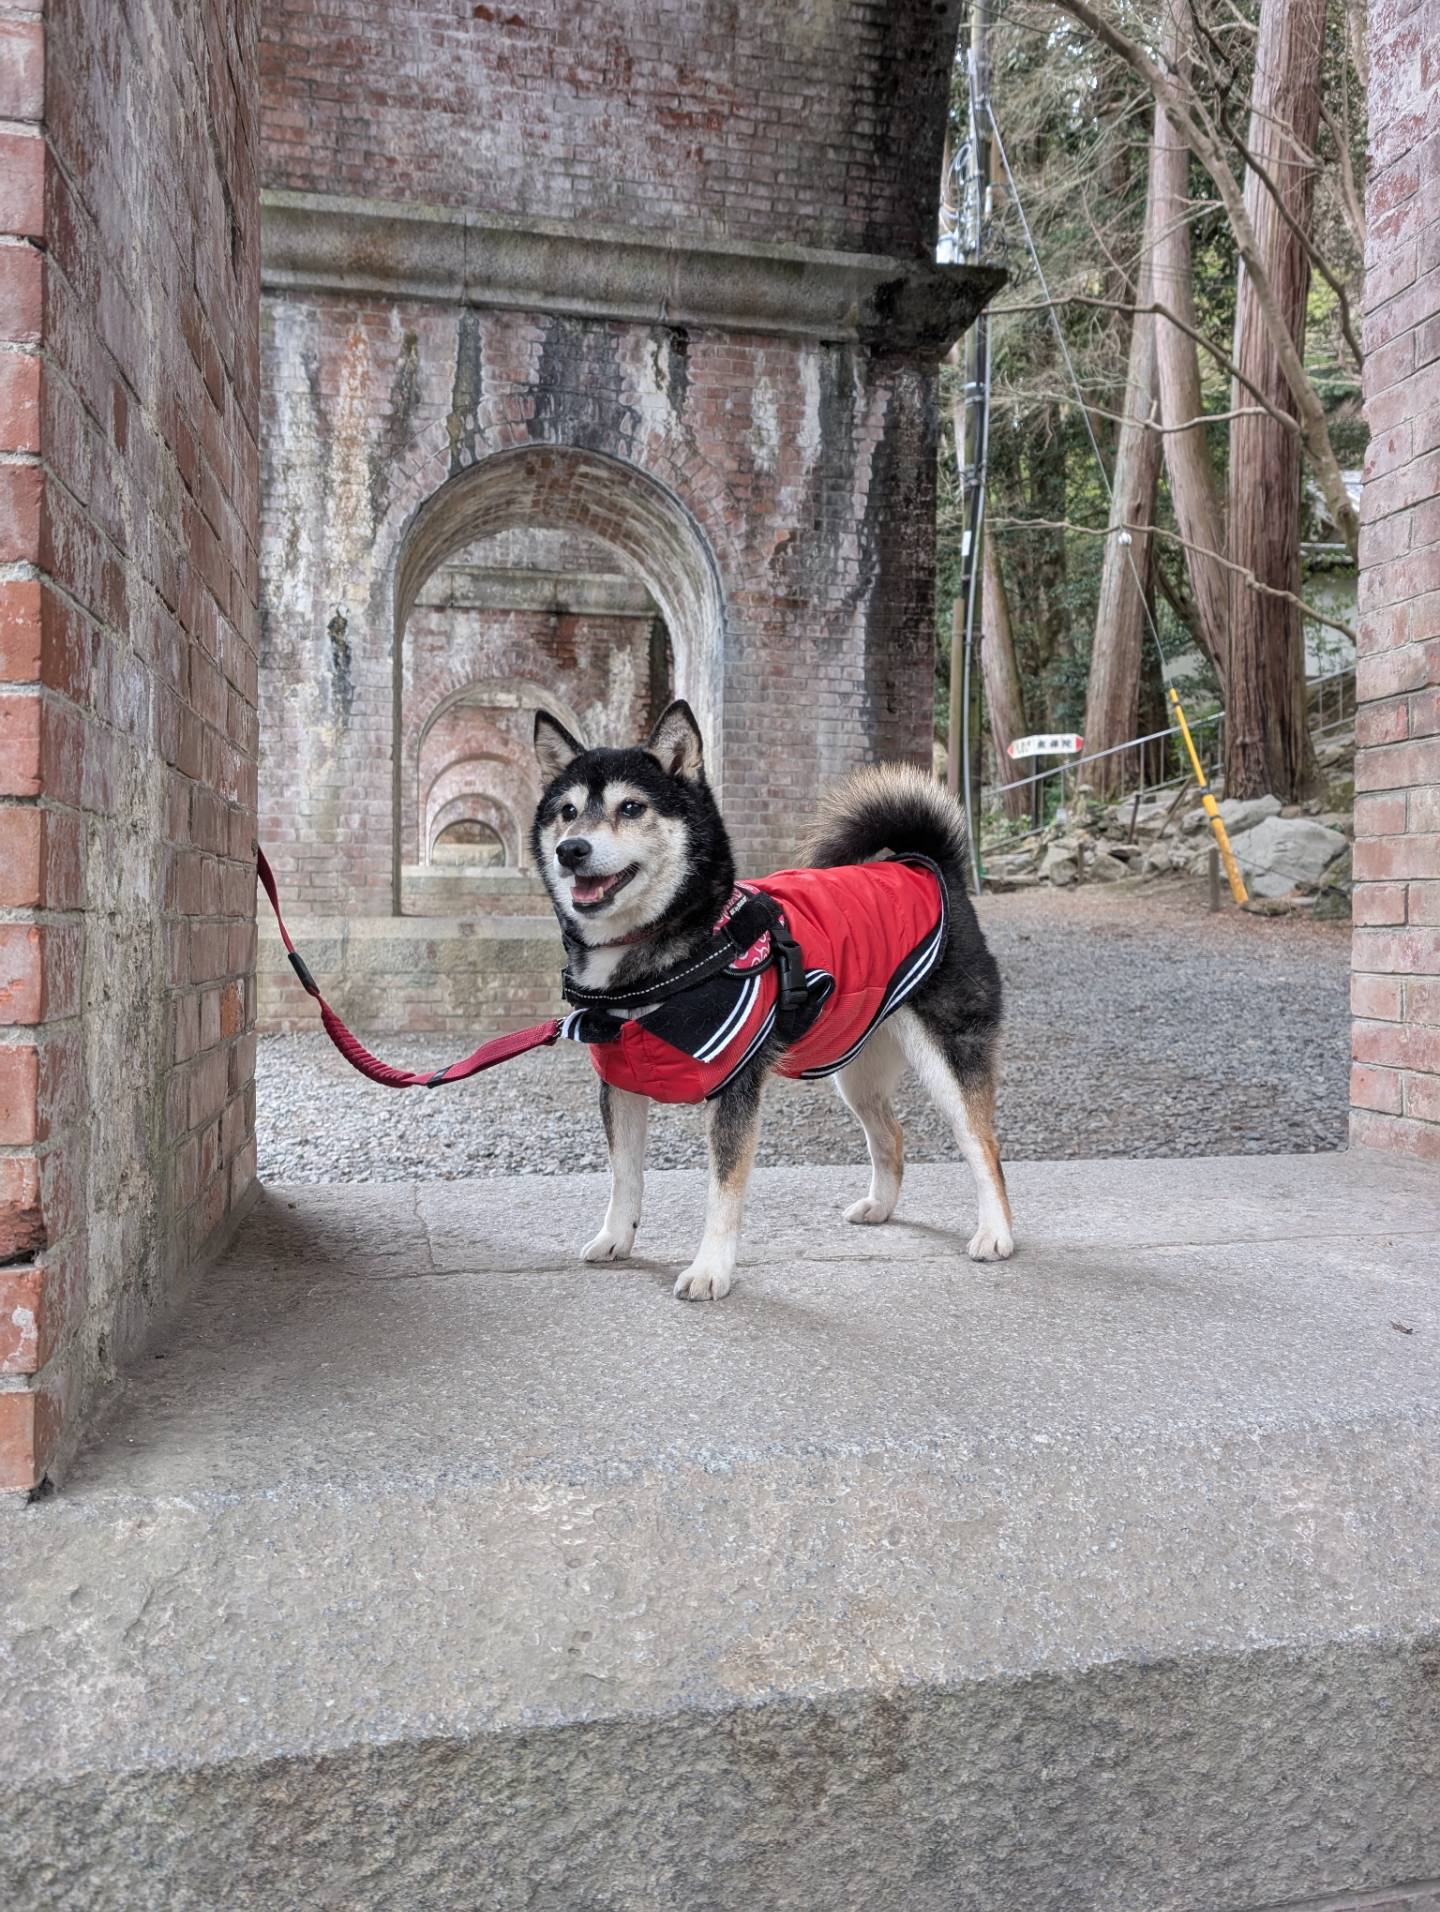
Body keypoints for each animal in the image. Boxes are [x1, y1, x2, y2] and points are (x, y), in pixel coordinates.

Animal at [531, 699, 1013, 1300]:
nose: (570, 849)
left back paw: (996, 1234)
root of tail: (929, 866)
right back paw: (880, 1206)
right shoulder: (619, 1082)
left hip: (947, 1058)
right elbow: (625, 1176)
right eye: (568, 811)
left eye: (632, 806)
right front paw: (616, 1239)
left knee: (983, 1146)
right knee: (892, 1135)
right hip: (855, 1068)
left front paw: (710, 1270)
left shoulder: (735, 1088)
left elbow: (723, 1191)